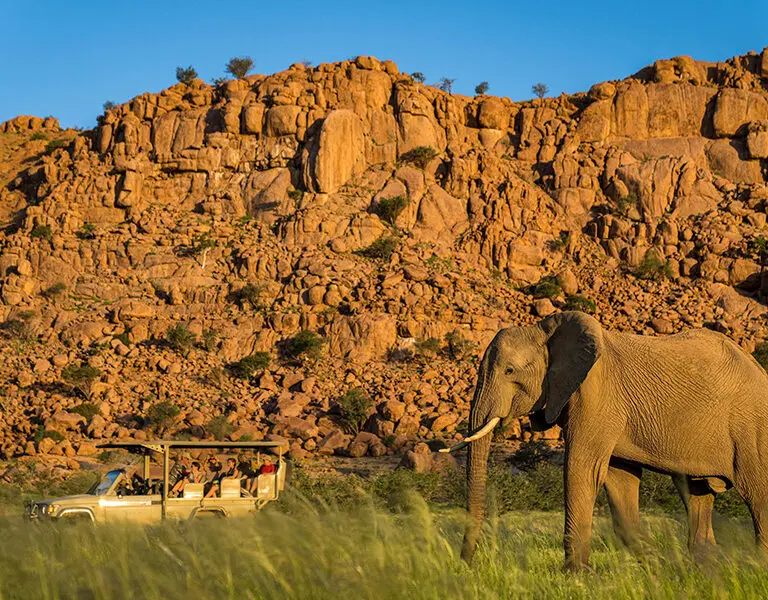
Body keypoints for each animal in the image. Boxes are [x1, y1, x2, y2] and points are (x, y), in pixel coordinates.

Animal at [442, 311, 765, 570]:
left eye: (509, 371)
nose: (464, 566)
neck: (546, 332)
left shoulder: (597, 396)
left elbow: (582, 469)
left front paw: (576, 575)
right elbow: (619, 478)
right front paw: (654, 567)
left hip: (752, 428)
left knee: (758, 496)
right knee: (696, 494)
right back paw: (705, 570)